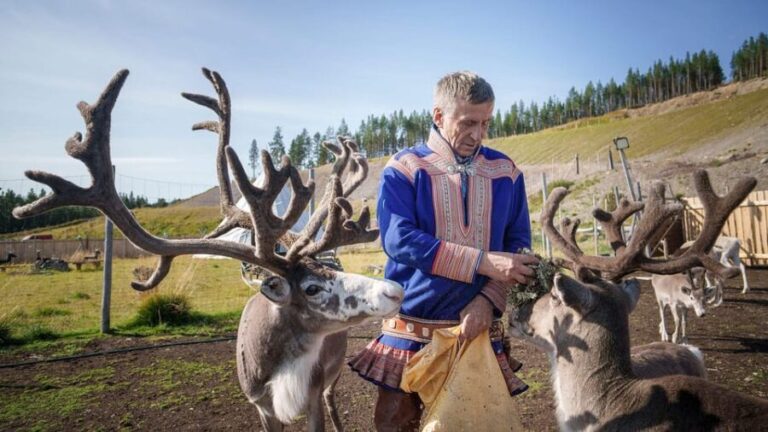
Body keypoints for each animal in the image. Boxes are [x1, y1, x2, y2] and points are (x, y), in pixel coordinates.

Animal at [12, 68, 405, 432]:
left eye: (335, 269)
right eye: (311, 287)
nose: (394, 290)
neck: (281, 373)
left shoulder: (311, 396)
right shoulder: (260, 404)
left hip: (332, 374)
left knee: (332, 397)